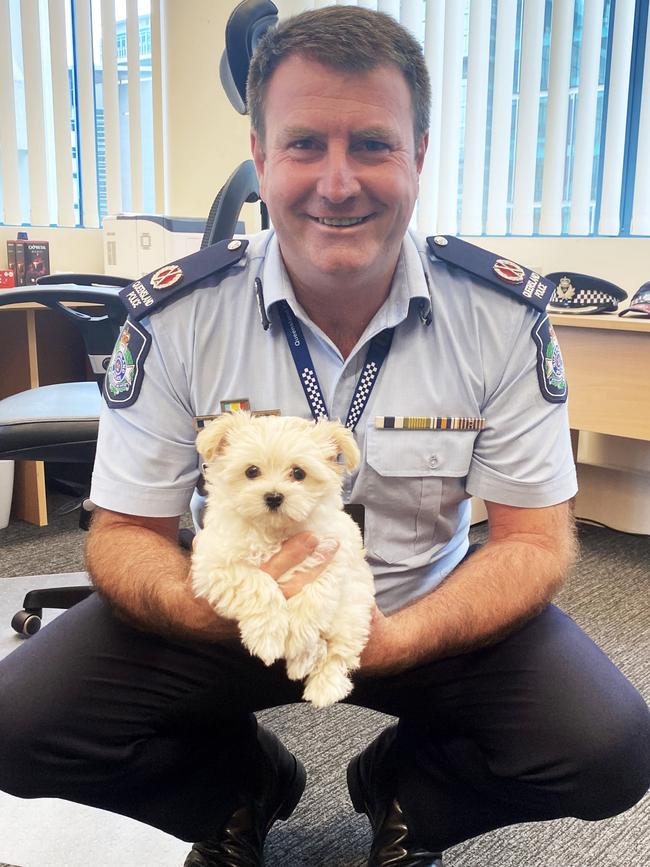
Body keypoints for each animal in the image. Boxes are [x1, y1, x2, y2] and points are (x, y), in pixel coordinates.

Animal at [191, 412, 374, 704]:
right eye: (251, 471)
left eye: (298, 473)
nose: (274, 497)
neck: (274, 532)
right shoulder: (214, 562)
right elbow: (257, 584)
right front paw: (268, 638)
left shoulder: (331, 554)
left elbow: (313, 593)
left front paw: (297, 637)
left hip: (353, 611)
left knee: (338, 651)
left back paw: (322, 685)